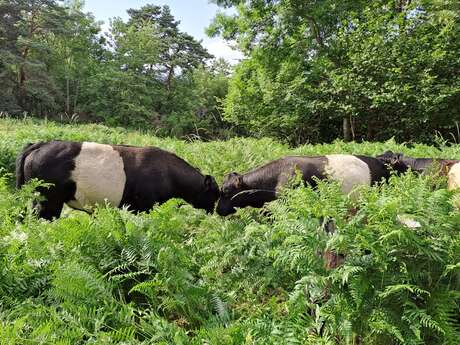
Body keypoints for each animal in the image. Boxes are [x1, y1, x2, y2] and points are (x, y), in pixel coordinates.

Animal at [16, 140, 221, 219]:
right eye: (214, 194)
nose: (216, 212)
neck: (169, 174)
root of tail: (42, 144)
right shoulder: (145, 207)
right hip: (48, 202)